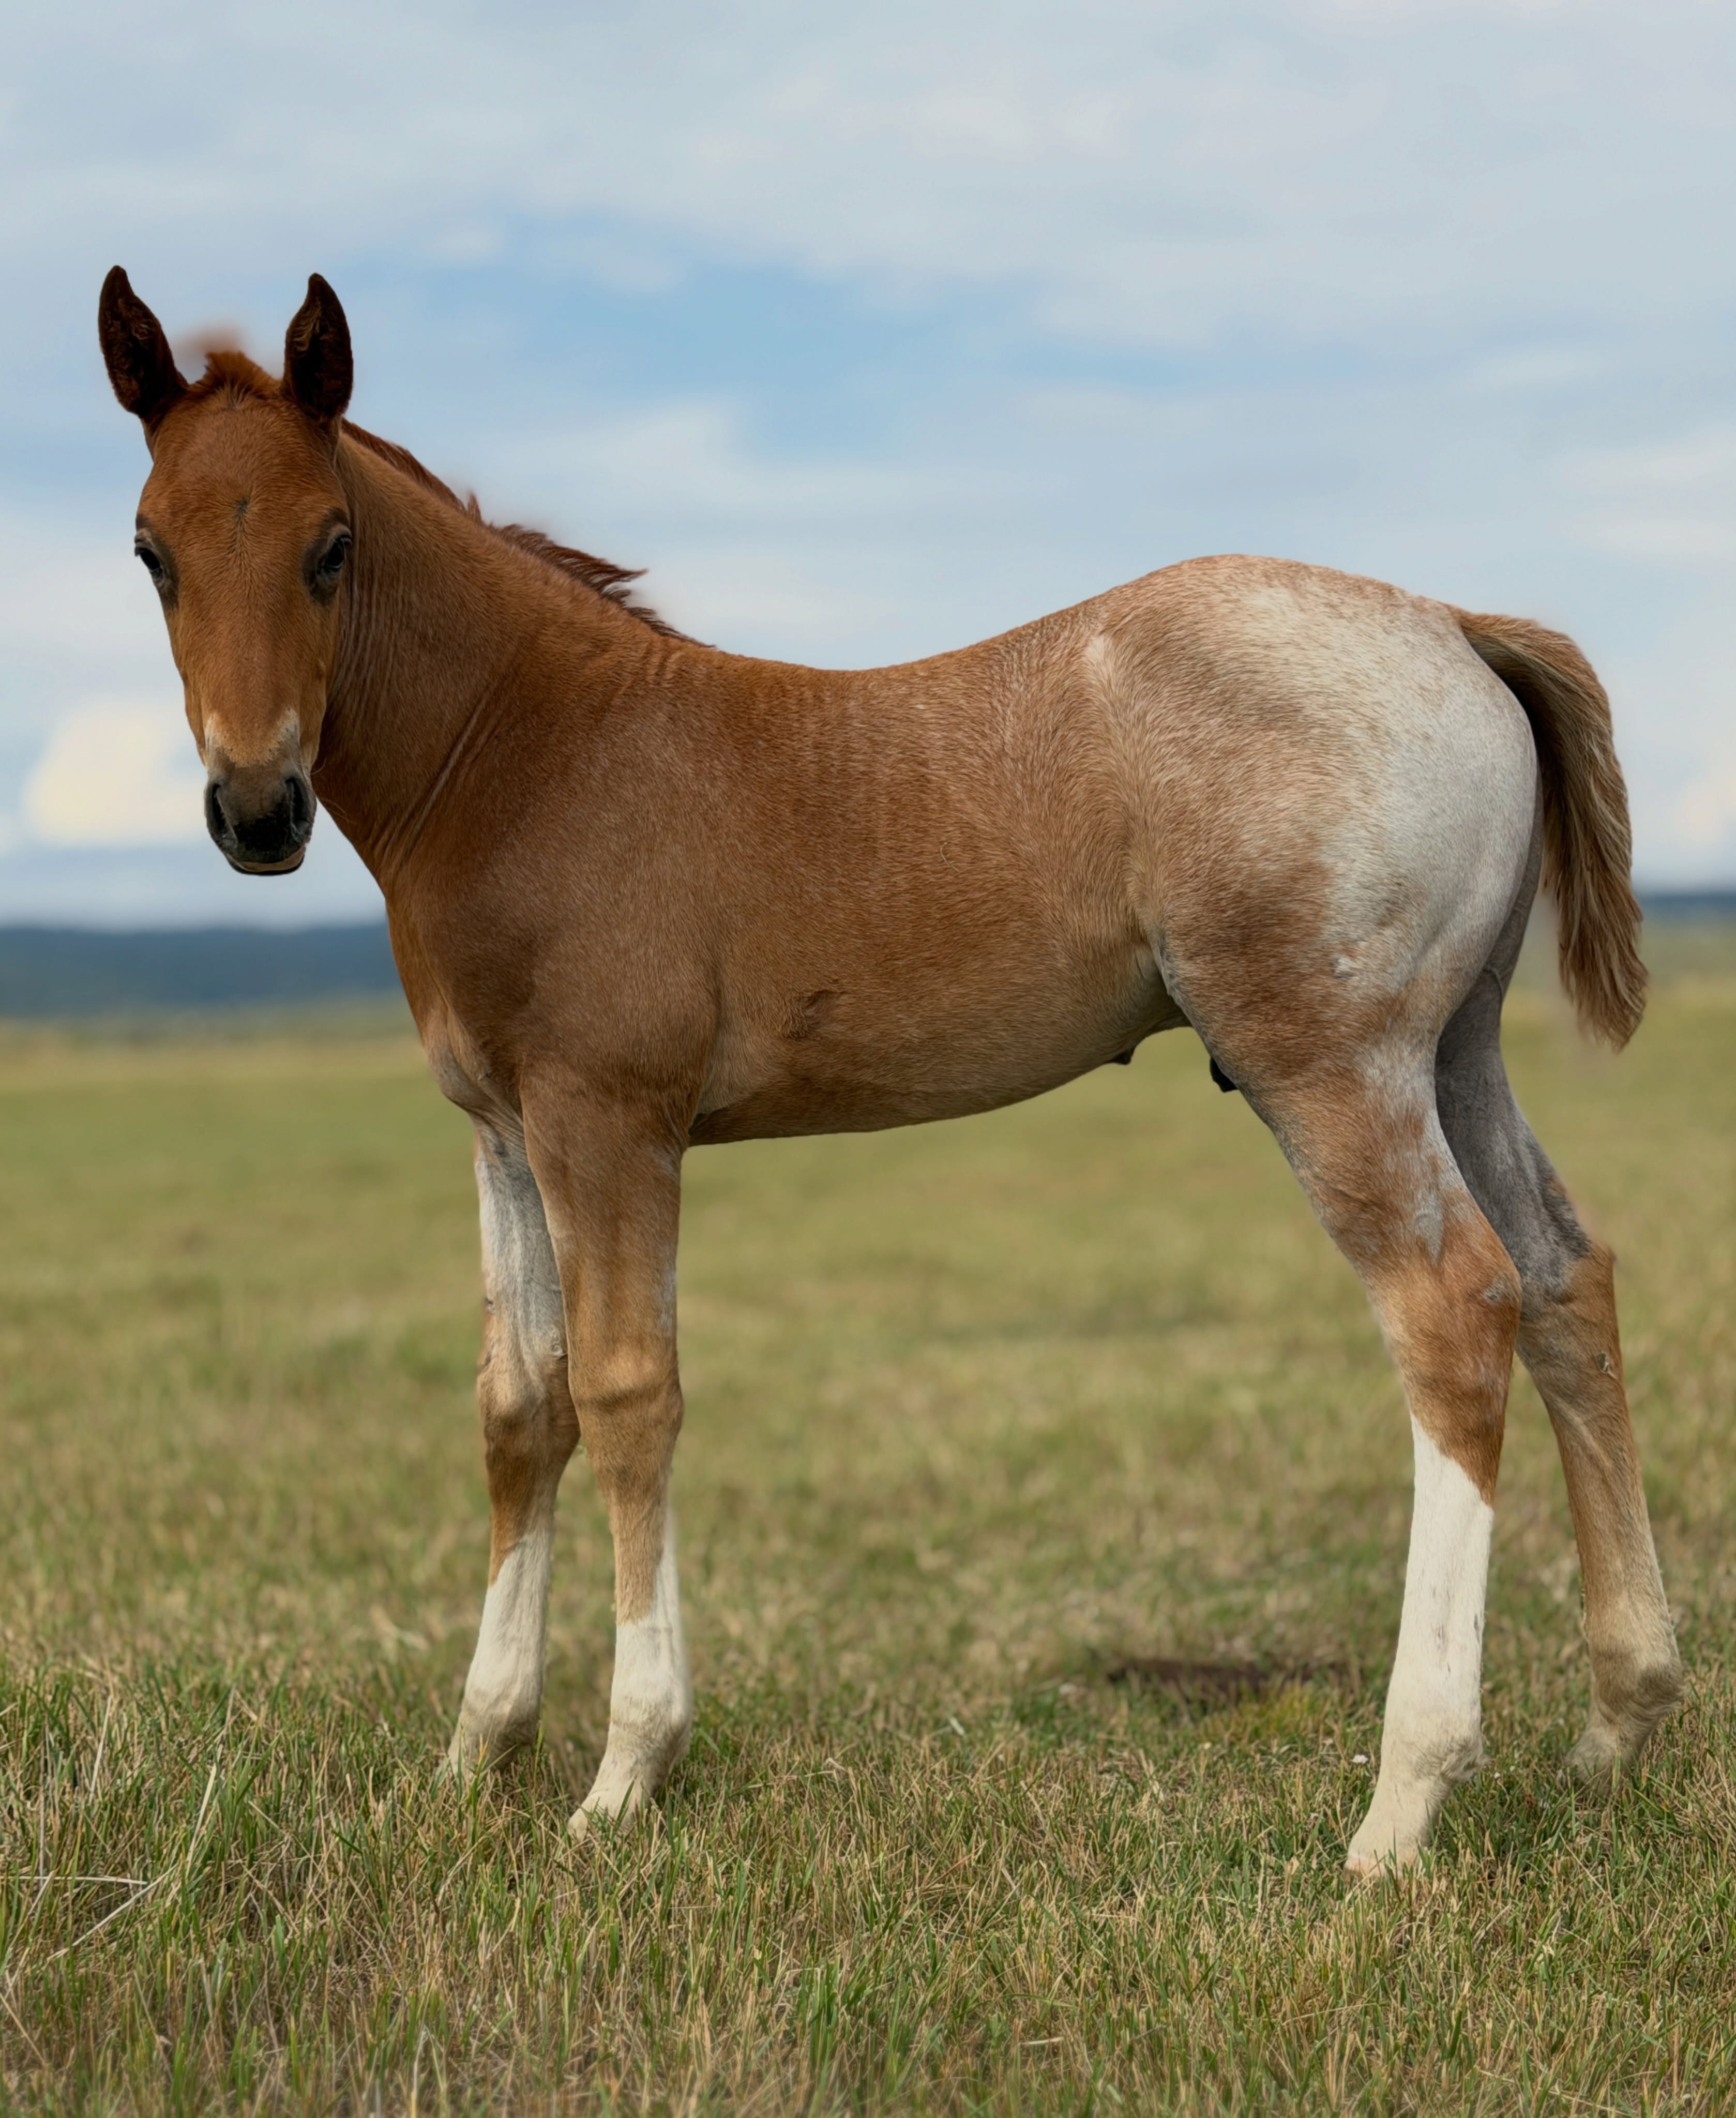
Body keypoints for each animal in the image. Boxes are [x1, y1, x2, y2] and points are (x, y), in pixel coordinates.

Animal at [97, 267, 1682, 1873]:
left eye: (332, 547)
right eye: (151, 549)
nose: (255, 807)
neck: (528, 753)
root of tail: (1454, 625)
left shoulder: (608, 1122)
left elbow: (626, 1394)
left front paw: (624, 1774)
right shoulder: (499, 1132)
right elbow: (518, 1405)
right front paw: (475, 1755)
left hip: (1329, 1065)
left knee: (1451, 1313)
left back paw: (1403, 1801)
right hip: (1453, 1051)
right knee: (1561, 1278)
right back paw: (1615, 1723)